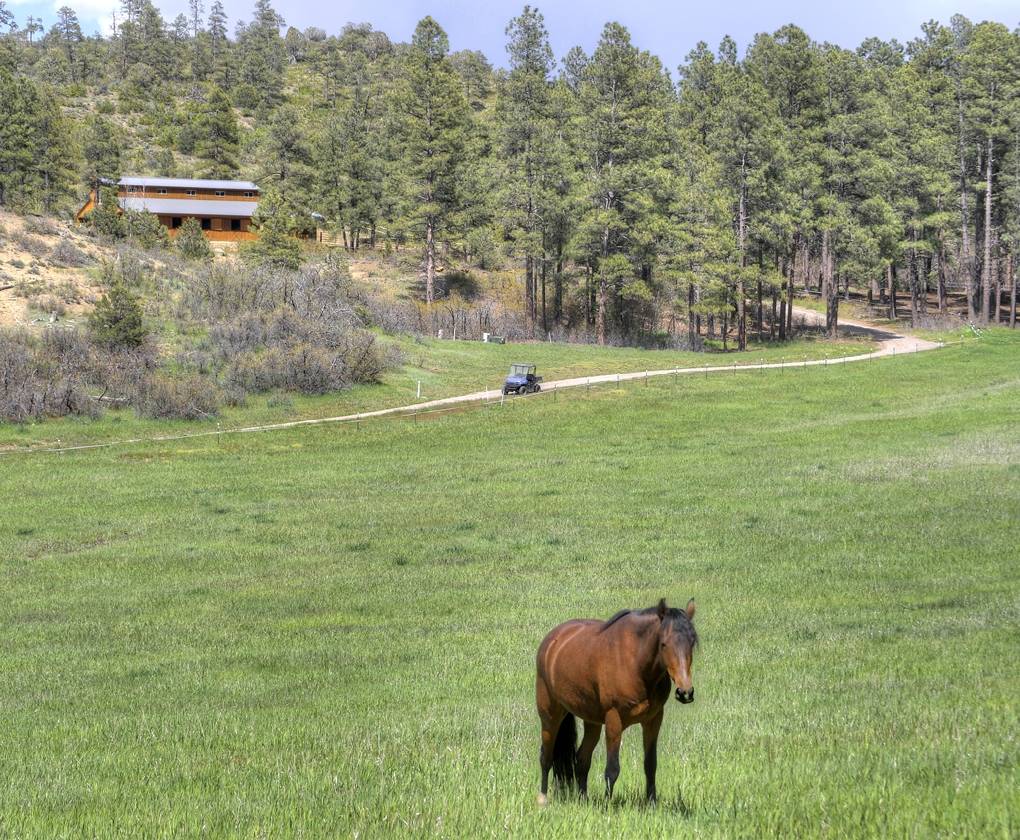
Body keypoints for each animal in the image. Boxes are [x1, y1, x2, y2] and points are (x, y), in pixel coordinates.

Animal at [535, 598, 698, 805]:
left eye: (692, 642)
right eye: (663, 644)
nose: (685, 692)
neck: (636, 662)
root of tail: (551, 641)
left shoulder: (653, 720)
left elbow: (650, 764)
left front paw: (652, 803)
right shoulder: (614, 720)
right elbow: (612, 769)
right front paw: (607, 805)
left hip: (592, 721)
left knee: (582, 759)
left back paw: (583, 799)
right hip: (550, 715)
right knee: (545, 757)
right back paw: (542, 798)